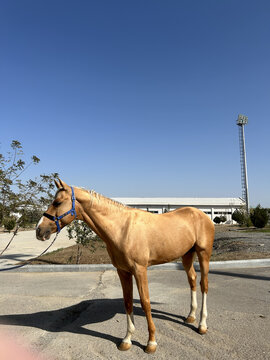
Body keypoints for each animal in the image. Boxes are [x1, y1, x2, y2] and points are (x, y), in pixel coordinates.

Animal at [37, 179, 215, 352]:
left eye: (58, 202)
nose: (39, 230)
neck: (122, 229)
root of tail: (202, 215)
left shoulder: (140, 270)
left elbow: (145, 302)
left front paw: (151, 342)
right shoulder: (123, 271)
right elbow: (128, 302)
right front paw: (127, 340)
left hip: (203, 254)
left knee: (204, 285)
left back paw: (202, 325)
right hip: (187, 255)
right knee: (192, 280)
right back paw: (191, 316)